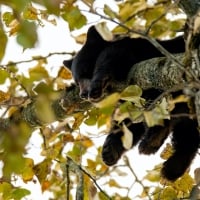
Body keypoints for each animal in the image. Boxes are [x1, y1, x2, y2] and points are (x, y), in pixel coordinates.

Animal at [63, 25, 199, 181]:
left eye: (86, 71)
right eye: (76, 80)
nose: (84, 94)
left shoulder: (138, 52)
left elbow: (112, 58)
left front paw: (97, 85)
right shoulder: (129, 97)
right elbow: (130, 121)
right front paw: (109, 150)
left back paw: (152, 140)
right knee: (187, 136)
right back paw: (172, 167)